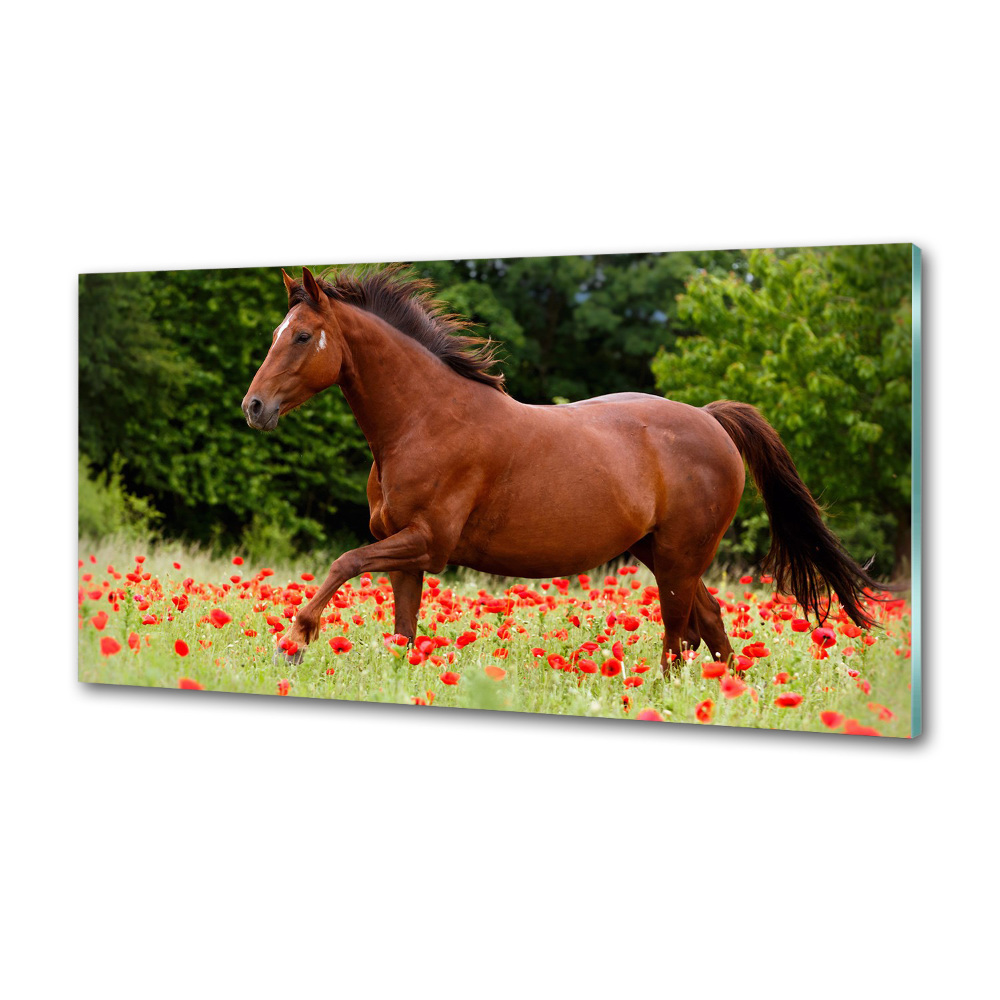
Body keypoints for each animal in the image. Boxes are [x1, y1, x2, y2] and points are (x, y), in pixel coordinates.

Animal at [242, 264, 884, 672]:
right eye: (276, 332)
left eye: (302, 336)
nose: (254, 406)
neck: (425, 420)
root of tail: (711, 421)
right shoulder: (405, 553)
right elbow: (403, 630)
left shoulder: (427, 542)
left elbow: (343, 562)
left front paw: (292, 642)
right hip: (665, 554)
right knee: (710, 624)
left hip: (680, 558)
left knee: (678, 636)